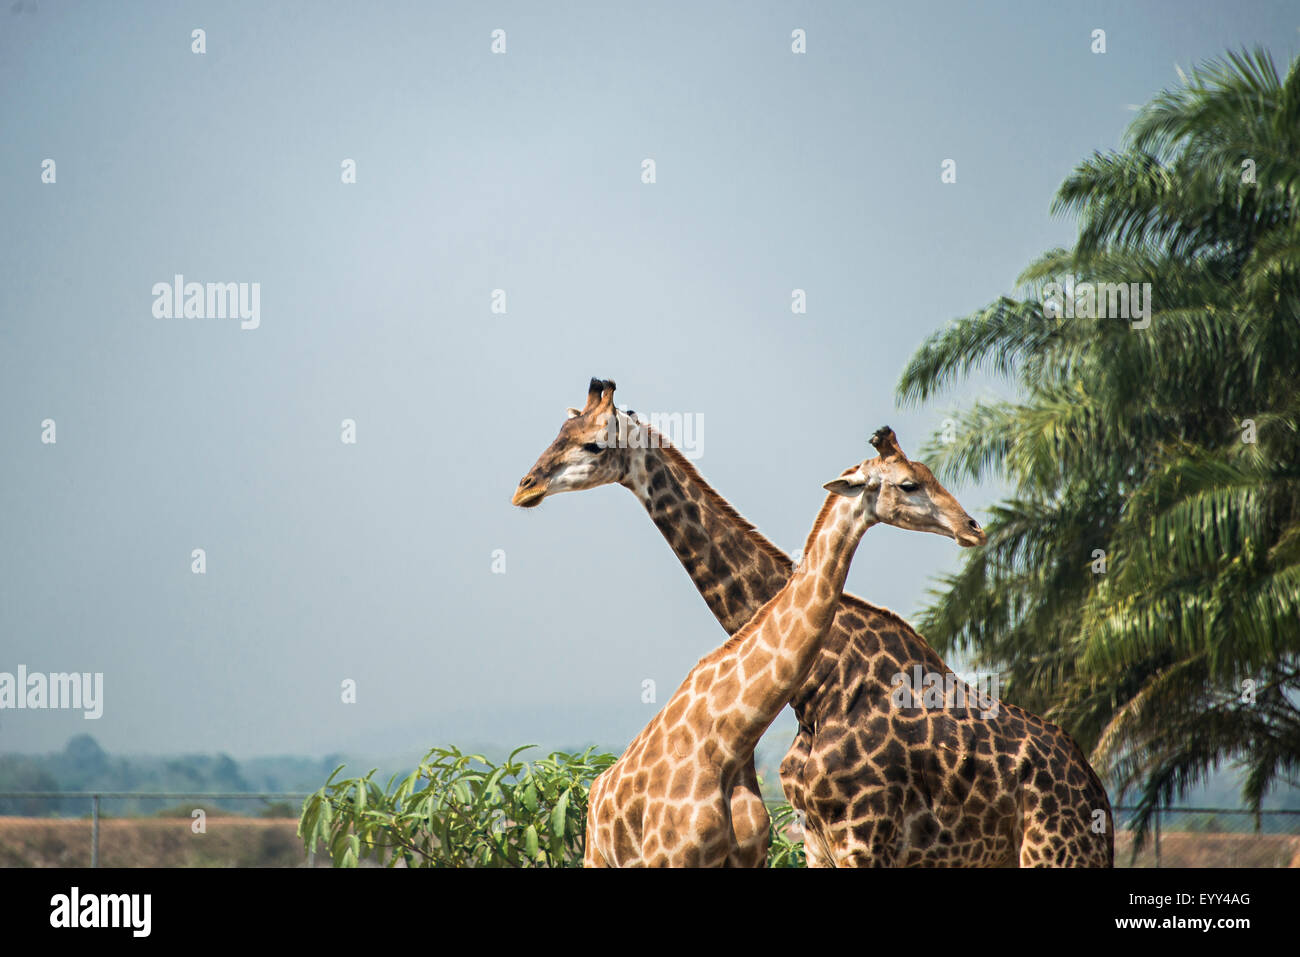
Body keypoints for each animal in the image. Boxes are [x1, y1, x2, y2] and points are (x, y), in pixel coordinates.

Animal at [513, 378, 1115, 867]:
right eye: (562, 432)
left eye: (592, 443)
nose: (525, 487)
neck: (819, 684)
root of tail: (1098, 793)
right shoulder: (816, 837)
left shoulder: (862, 836)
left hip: (1053, 852)